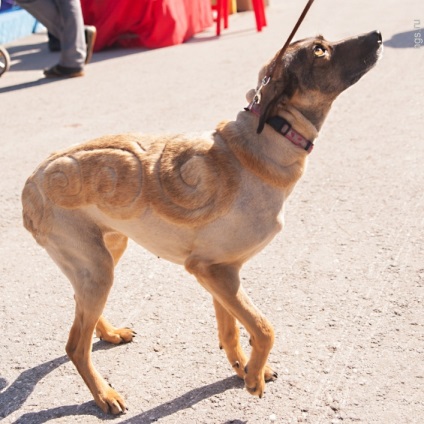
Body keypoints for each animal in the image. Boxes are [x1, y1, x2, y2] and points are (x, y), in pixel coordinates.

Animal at [21, 30, 382, 414]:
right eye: (319, 50)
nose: (377, 35)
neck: (264, 143)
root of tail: (31, 181)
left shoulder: (222, 273)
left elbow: (232, 330)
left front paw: (244, 368)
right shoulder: (211, 270)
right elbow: (264, 328)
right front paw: (253, 380)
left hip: (106, 254)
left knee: (80, 315)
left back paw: (109, 333)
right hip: (98, 268)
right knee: (75, 345)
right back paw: (104, 395)